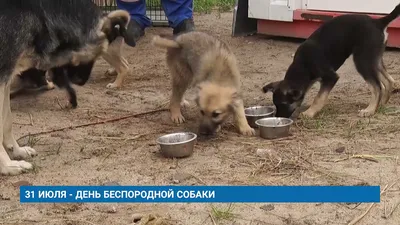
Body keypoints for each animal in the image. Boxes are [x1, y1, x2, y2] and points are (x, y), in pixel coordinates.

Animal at [0, 0, 135, 176]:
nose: (82, 81)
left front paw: (16, 151)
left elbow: (7, 120)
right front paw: (7, 166)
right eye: (97, 53)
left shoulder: (6, 75)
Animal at [262, 3, 400, 118]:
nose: (278, 117)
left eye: (284, 104)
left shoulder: (331, 77)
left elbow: (319, 97)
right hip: (373, 59)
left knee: (377, 87)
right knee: (388, 81)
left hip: (362, 60)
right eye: (275, 104)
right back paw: (380, 105)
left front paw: (309, 113)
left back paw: (370, 110)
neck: (303, 66)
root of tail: (378, 22)